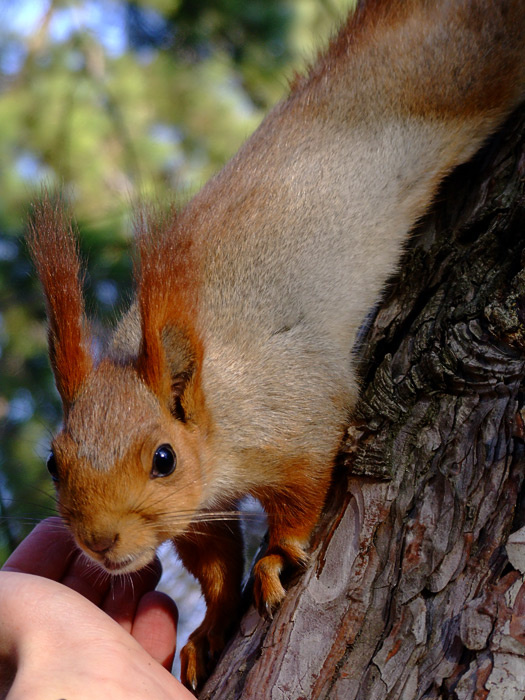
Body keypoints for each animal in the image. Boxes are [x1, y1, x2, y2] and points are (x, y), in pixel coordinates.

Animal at [27, 0, 525, 692]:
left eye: (163, 459)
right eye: (53, 462)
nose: (100, 542)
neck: (214, 408)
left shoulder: (299, 413)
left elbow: (301, 496)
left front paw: (274, 560)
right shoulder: (199, 511)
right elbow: (213, 562)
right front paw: (209, 629)